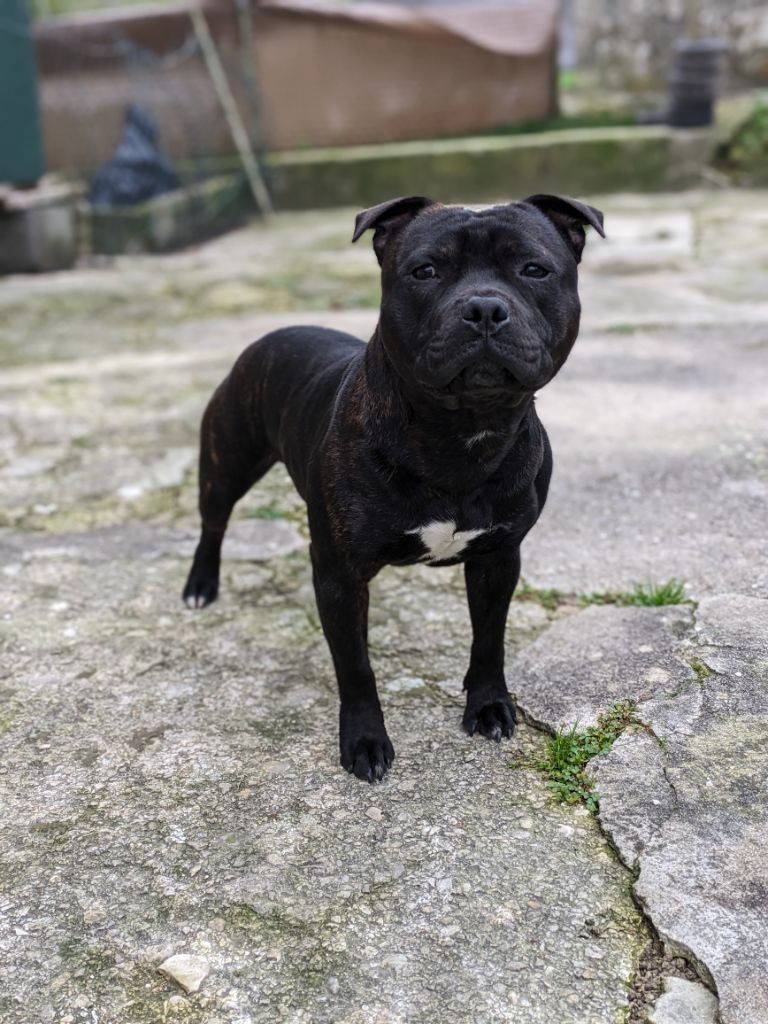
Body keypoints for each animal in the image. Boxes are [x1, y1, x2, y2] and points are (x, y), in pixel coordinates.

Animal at [183, 193, 606, 782]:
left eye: (534, 269)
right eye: (424, 271)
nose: (484, 308)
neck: (459, 430)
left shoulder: (499, 558)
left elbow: (489, 638)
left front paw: (488, 704)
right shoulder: (339, 575)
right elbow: (355, 666)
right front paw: (365, 740)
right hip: (226, 463)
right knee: (213, 522)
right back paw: (201, 585)